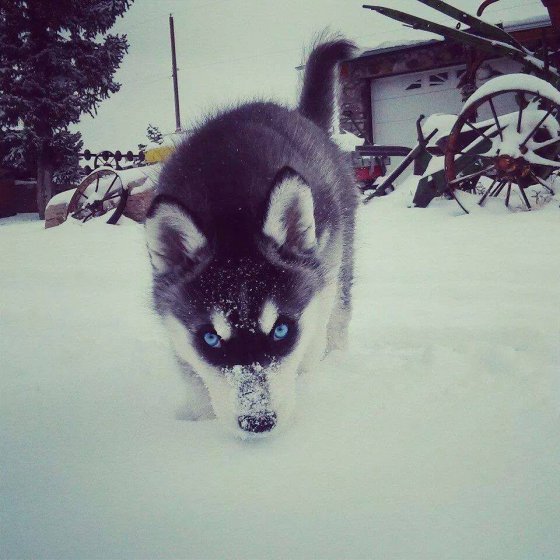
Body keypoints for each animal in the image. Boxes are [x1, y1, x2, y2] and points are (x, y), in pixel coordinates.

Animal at [144, 41, 354, 440]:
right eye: (210, 339)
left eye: (282, 330)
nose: (258, 422)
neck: (231, 208)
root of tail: (301, 118)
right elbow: (195, 378)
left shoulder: (317, 295)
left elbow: (307, 349)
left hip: (339, 260)